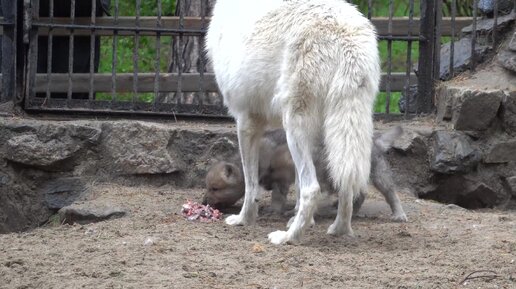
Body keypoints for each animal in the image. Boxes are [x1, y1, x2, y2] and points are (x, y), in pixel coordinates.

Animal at [207, 0, 382, 244]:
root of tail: (346, 37)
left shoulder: (246, 121)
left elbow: (251, 184)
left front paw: (244, 219)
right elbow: (295, 186)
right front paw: (303, 220)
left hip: (295, 127)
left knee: (312, 188)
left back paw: (288, 237)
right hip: (341, 130)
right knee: (345, 182)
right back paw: (339, 229)